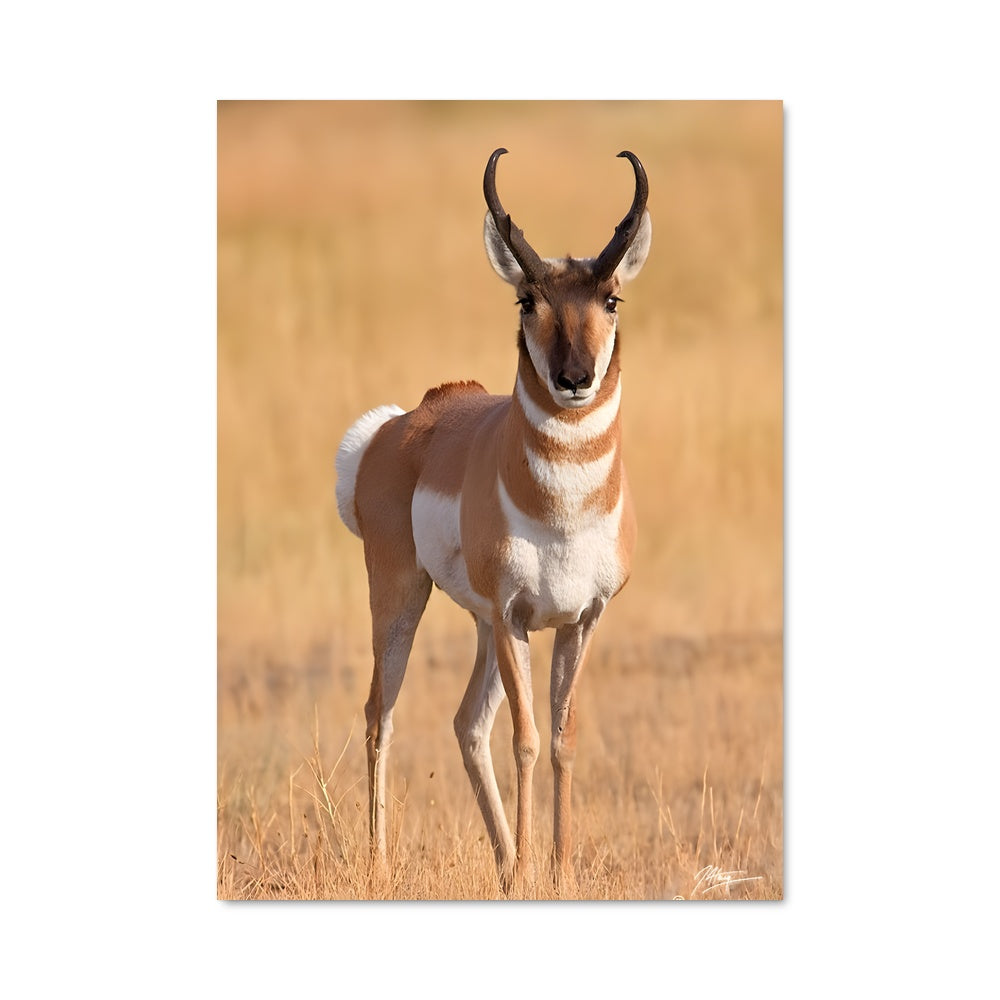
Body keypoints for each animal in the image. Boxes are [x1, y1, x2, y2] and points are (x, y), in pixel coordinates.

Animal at [335, 148, 651, 893]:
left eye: (611, 298)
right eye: (527, 299)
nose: (574, 378)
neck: (562, 511)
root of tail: (401, 423)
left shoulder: (577, 620)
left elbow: (562, 739)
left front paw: (558, 873)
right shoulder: (515, 618)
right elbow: (527, 740)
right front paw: (537, 870)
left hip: (479, 625)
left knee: (465, 724)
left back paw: (506, 865)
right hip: (403, 597)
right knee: (380, 714)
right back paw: (384, 866)